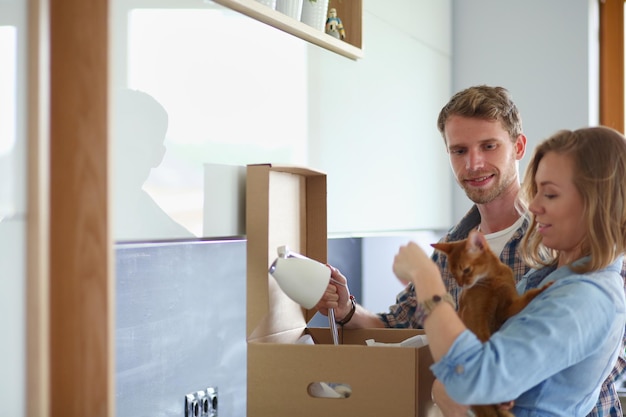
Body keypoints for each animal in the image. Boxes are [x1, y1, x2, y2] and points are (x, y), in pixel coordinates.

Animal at [432, 229, 548, 416]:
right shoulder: (474, 320)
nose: (461, 284)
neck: (493, 280)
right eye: (453, 274)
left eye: (466, 270)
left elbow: (525, 298)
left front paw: (542, 289)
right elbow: (484, 345)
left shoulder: (507, 308)